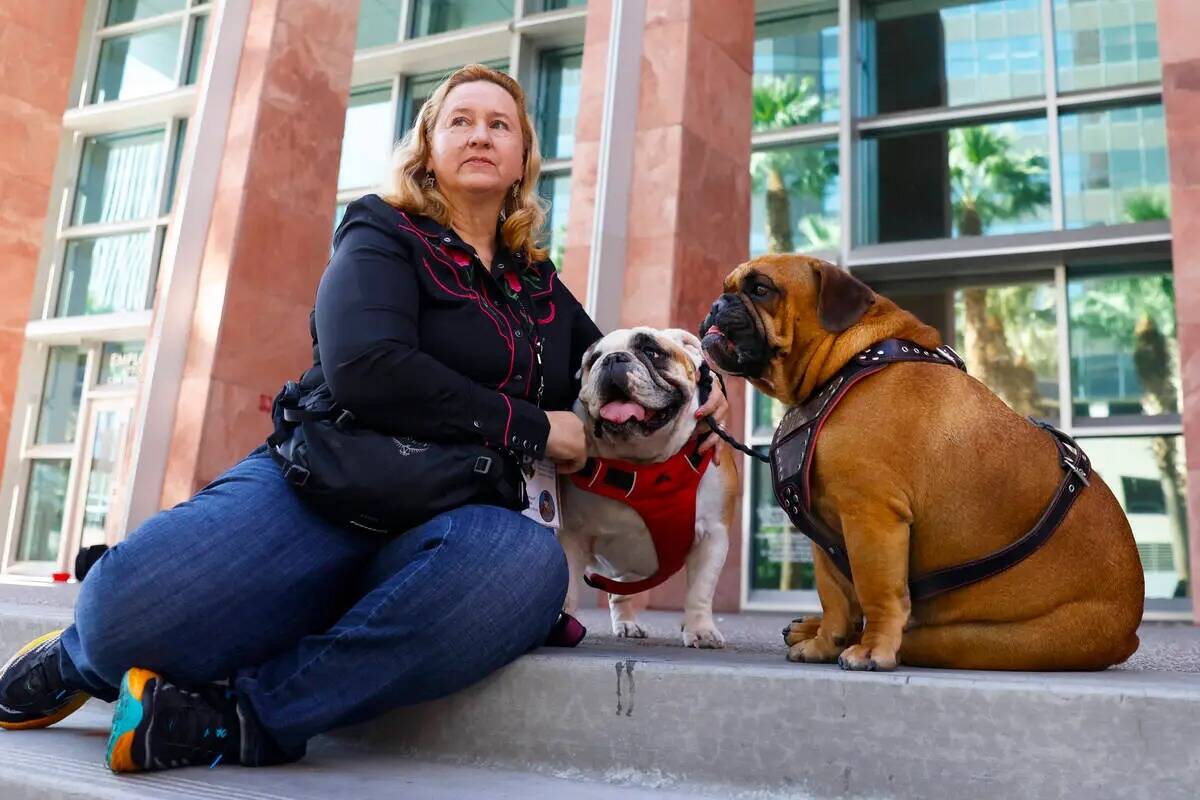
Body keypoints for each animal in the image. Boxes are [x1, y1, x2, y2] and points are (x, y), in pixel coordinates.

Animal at [700, 255, 1142, 671]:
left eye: (761, 289)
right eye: (725, 288)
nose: (717, 304)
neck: (848, 363)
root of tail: (1130, 633)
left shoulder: (871, 517)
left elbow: (876, 592)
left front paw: (871, 650)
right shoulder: (824, 532)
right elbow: (835, 598)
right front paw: (824, 643)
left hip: (985, 639)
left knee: (920, 635)